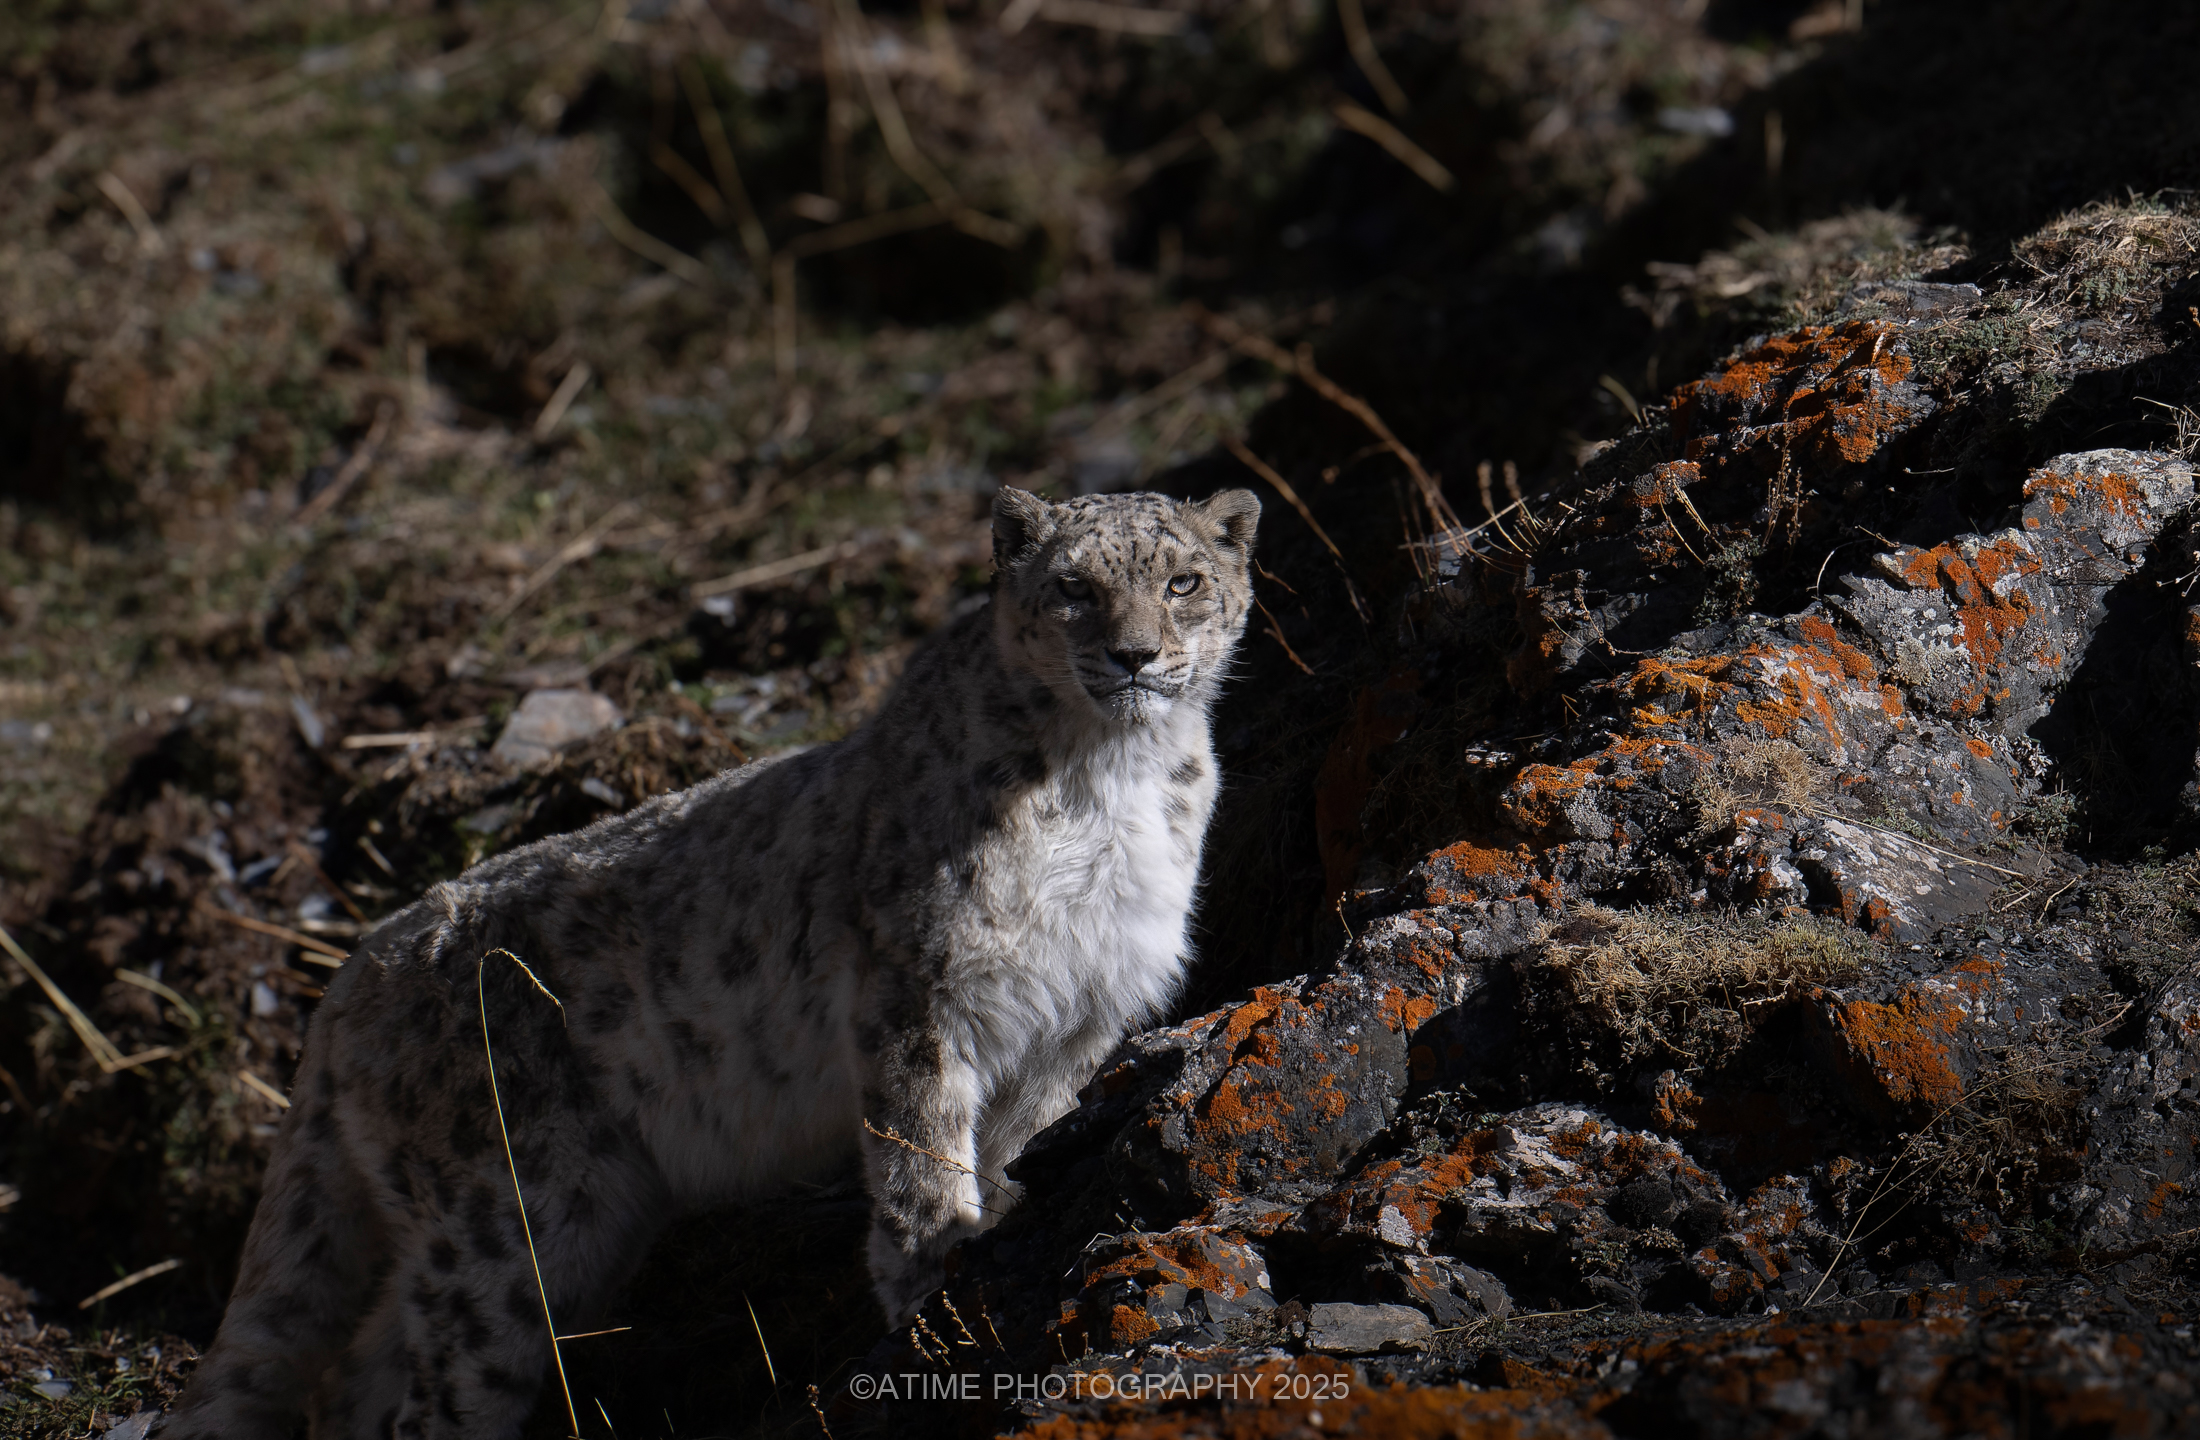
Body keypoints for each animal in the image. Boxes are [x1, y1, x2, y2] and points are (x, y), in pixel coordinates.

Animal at [166, 484, 1262, 1439]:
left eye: (1183, 581)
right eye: (1072, 585)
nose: (1133, 655)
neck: (1107, 781)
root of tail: (350, 975)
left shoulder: (1080, 1011)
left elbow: (1015, 1134)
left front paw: (996, 1221)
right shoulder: (923, 991)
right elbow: (917, 1147)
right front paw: (934, 1275)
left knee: (358, 1369)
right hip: (508, 1217)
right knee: (434, 1385)